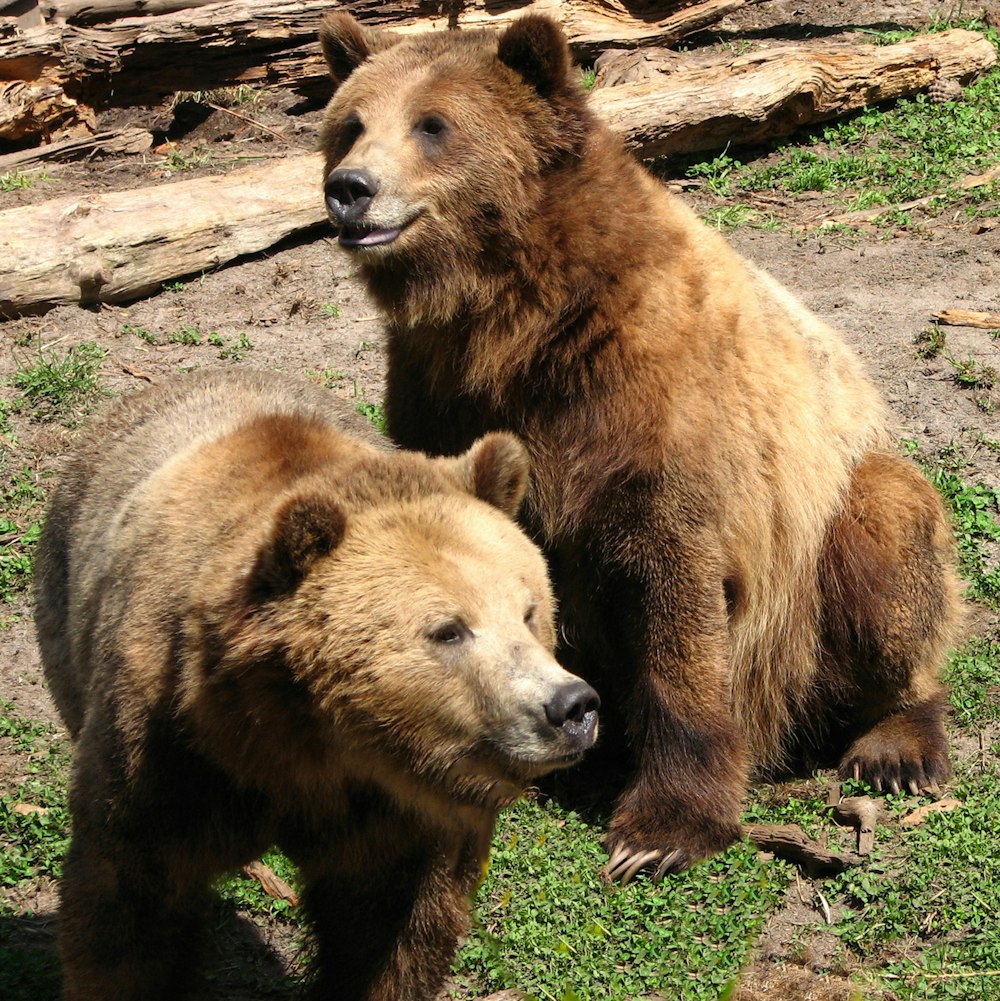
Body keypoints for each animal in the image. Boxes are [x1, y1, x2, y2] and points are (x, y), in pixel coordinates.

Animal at [37, 370, 600, 1001]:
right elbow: (130, 908)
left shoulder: (394, 811)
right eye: (449, 630)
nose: (571, 707)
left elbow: (390, 927)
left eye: (529, 612)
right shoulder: (166, 755)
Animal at [318, 13, 960, 884]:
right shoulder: (441, 394)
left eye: (433, 125)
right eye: (350, 123)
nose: (350, 187)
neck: (512, 316)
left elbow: (674, 598)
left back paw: (896, 744)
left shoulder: (651, 411)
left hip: (828, 539)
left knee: (890, 540)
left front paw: (661, 828)